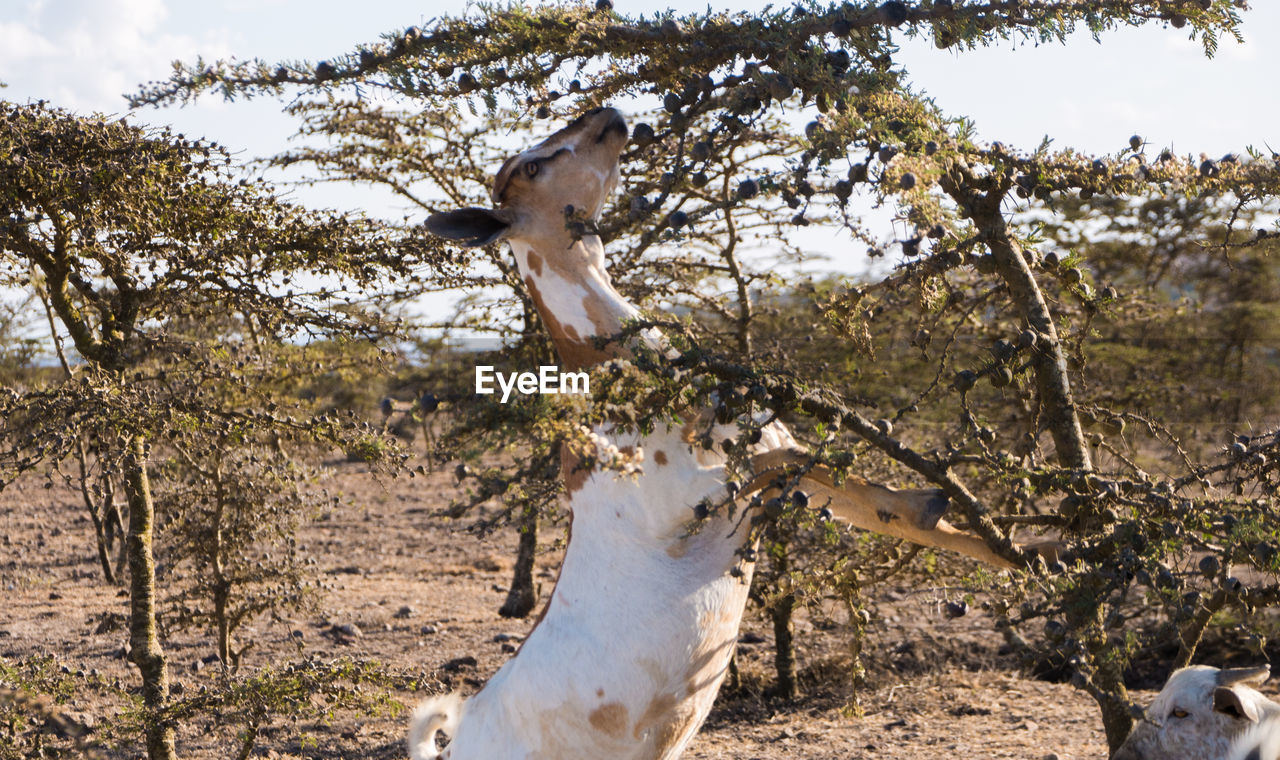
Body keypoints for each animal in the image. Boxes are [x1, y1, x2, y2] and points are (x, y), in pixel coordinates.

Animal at [419, 106, 1039, 757]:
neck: (617, 370)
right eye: (532, 166)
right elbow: (810, 473)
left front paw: (1040, 555)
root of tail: (457, 734)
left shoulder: (775, 464)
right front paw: (943, 503)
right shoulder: (696, 501)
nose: (609, 116)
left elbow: (892, 510)